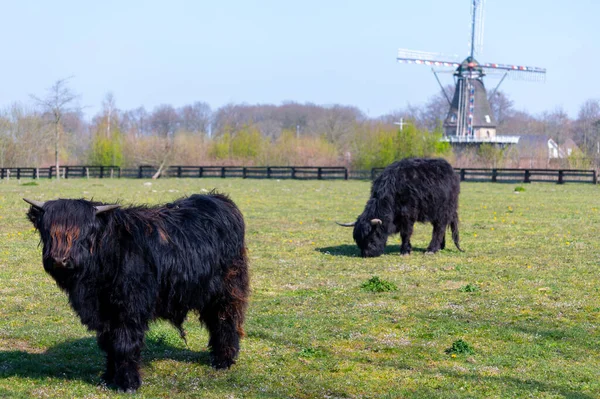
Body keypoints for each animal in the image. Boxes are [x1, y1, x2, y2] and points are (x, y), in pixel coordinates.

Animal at [23, 194, 248, 394]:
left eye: (84, 232)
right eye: (48, 230)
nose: (59, 260)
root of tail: (219, 199)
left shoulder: (130, 310)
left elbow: (125, 345)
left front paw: (128, 384)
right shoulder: (105, 314)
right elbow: (109, 344)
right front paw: (108, 377)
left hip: (227, 290)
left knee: (225, 320)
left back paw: (224, 360)